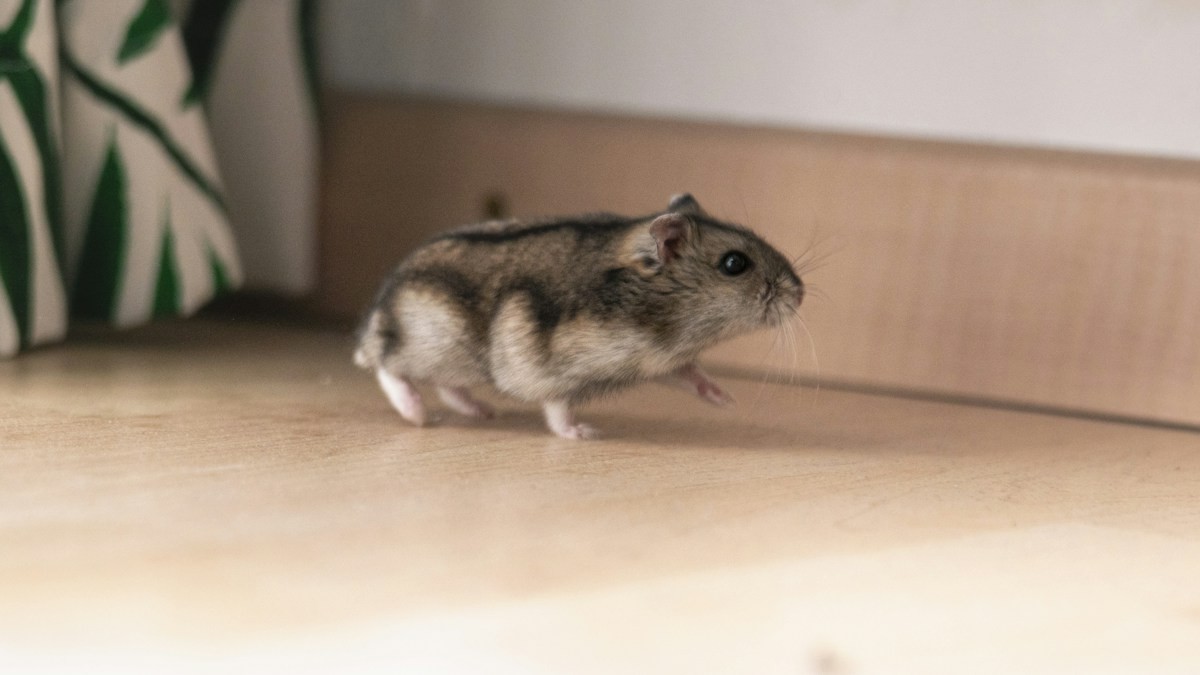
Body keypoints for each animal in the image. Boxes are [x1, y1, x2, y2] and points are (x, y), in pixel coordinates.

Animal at [354, 193, 804, 439]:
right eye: (734, 264)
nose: (799, 294)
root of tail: (378, 313)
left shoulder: (662, 362)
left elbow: (690, 374)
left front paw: (727, 401)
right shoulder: (553, 370)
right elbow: (557, 409)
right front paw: (586, 434)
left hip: (455, 361)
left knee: (448, 387)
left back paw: (483, 411)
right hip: (430, 346)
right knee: (387, 367)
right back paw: (418, 414)